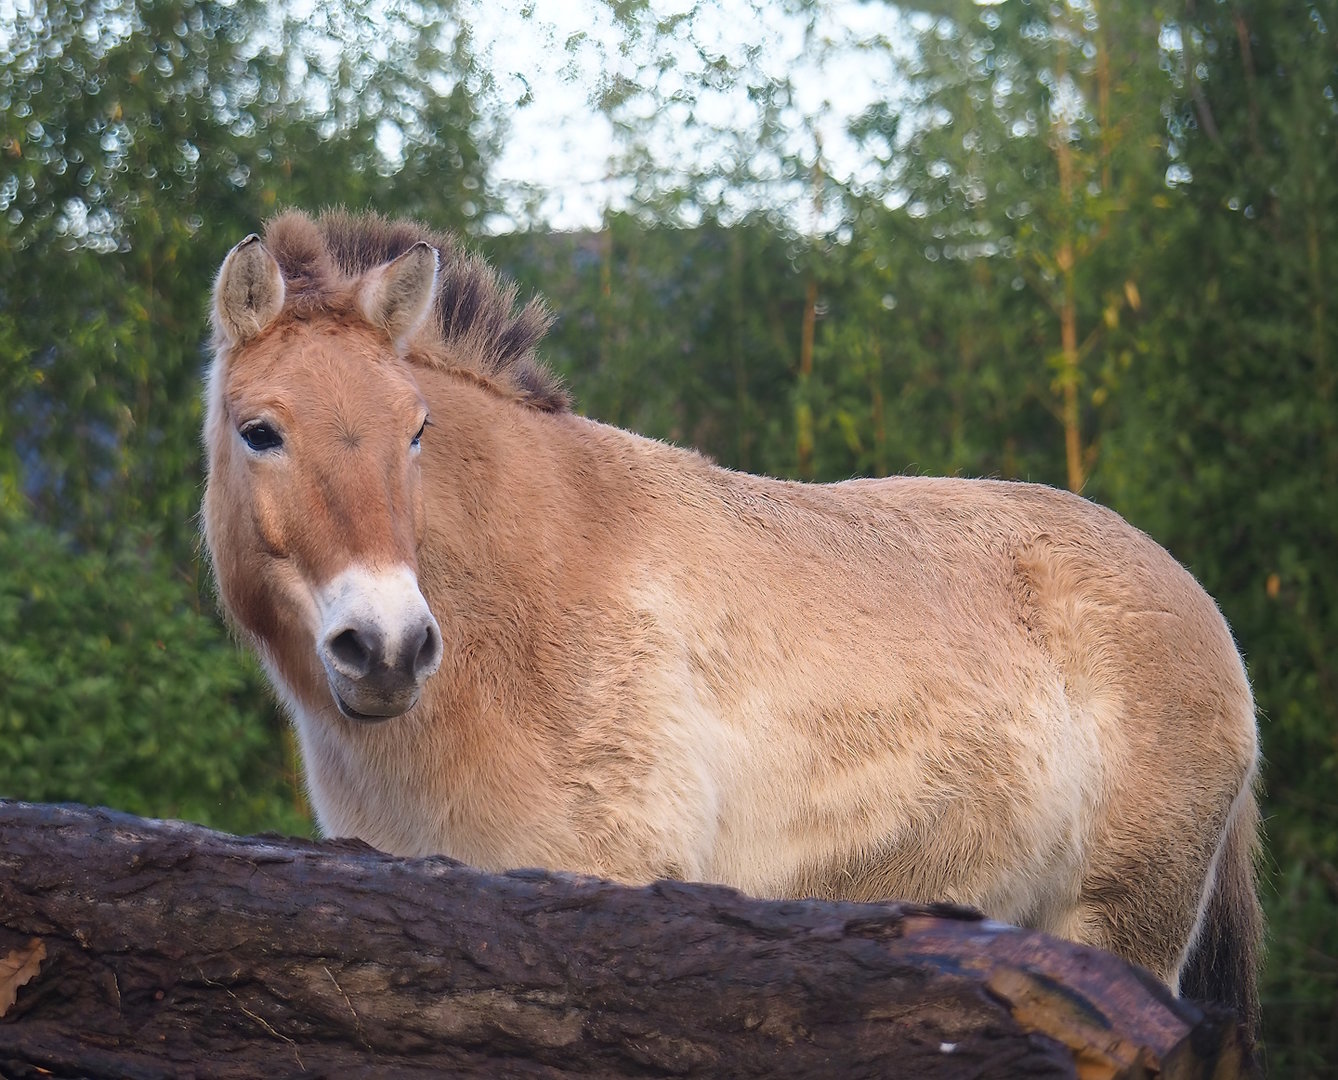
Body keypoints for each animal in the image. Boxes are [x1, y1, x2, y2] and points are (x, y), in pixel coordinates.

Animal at [203, 209, 1262, 1032]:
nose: (387, 649)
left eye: (416, 430)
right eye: (260, 432)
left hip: (1125, 932)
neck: (524, 620)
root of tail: (1200, 608)